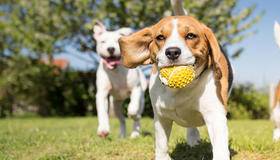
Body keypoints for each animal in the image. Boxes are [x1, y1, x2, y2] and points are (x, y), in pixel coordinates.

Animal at [119, 0, 233, 159]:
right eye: (160, 37)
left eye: (191, 36)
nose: (172, 52)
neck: (180, 90)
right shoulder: (161, 117)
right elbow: (161, 144)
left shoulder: (215, 115)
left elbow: (220, 147)